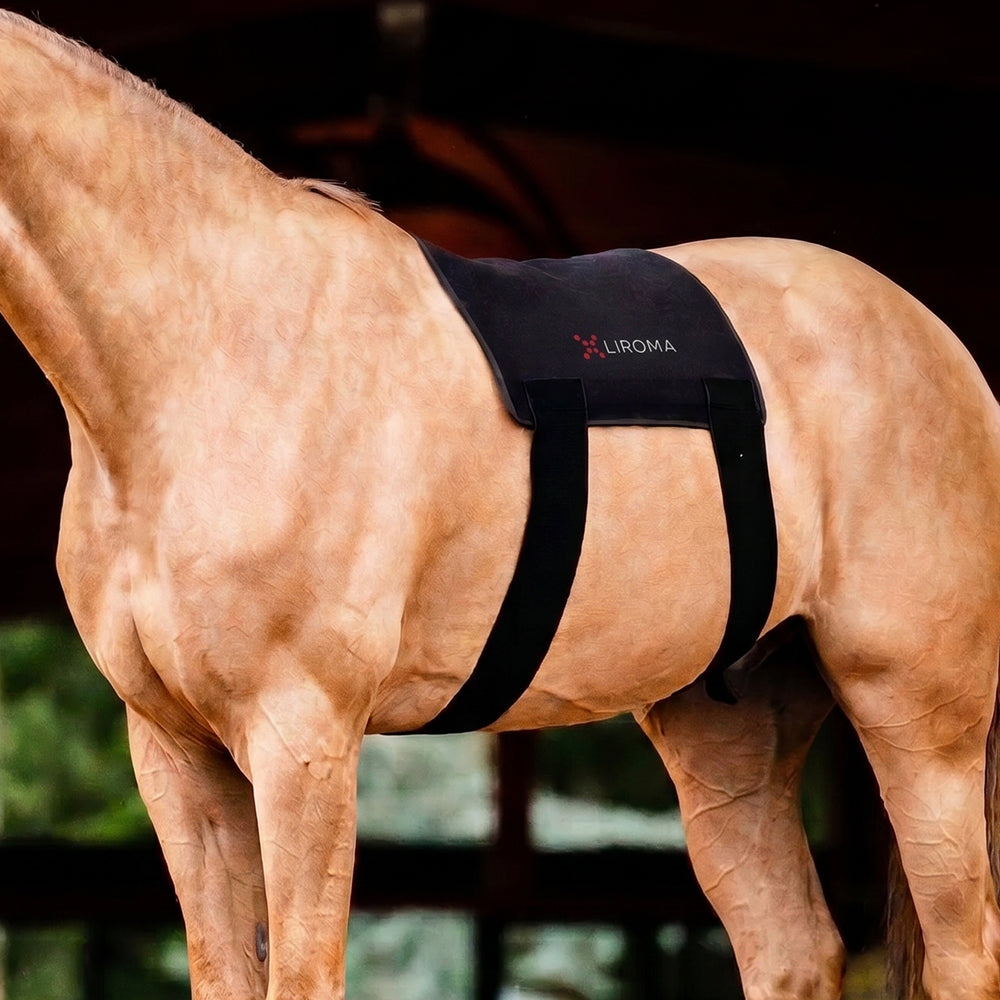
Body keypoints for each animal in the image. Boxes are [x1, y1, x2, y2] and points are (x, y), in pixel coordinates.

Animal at [1, 10, 998, 1000]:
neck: (214, 341)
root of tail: (944, 347)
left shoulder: (302, 738)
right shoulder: (176, 754)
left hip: (920, 719)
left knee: (964, 950)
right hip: (728, 730)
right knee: (792, 947)